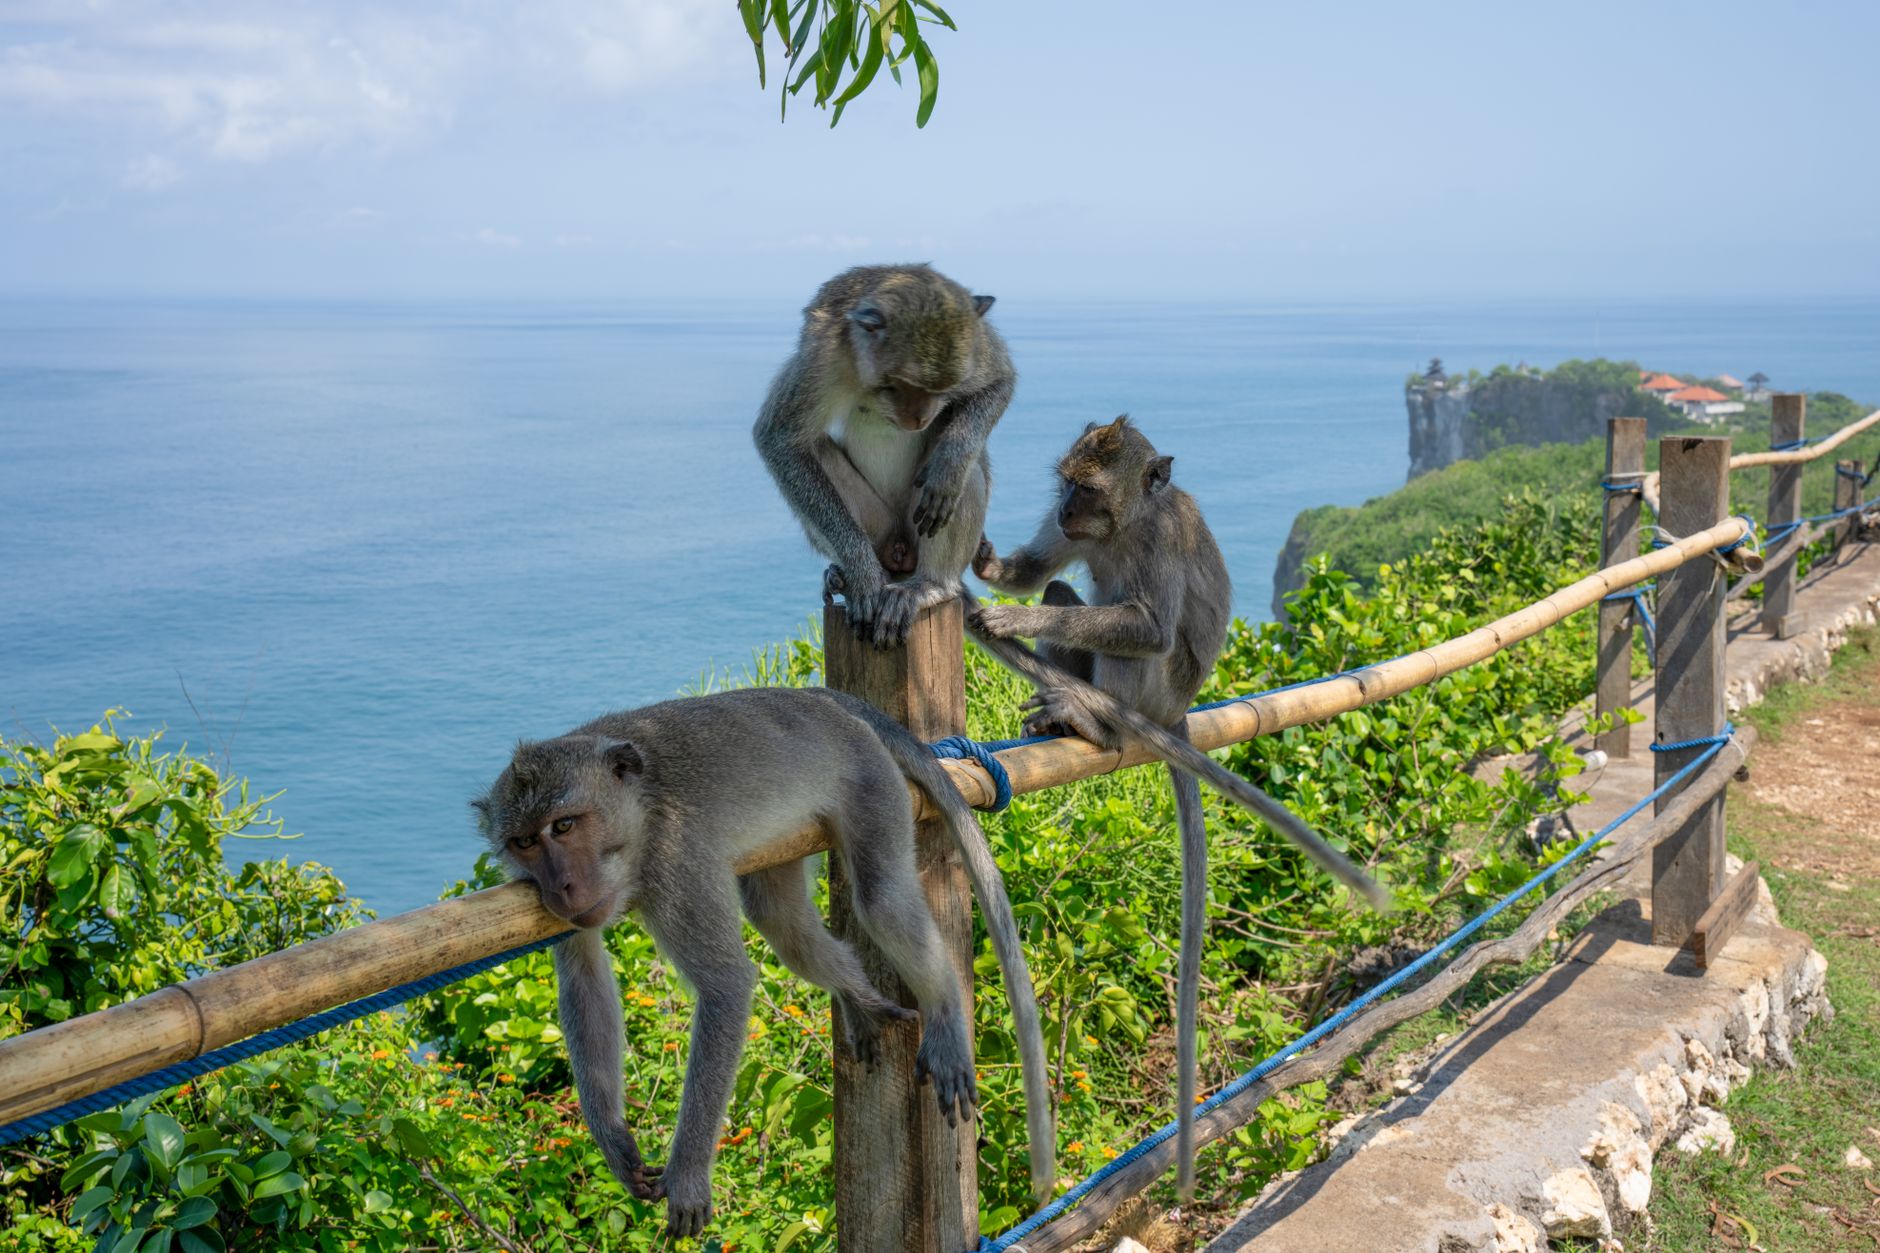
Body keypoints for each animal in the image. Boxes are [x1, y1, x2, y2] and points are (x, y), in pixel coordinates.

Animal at [472, 685, 1054, 1239]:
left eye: (565, 826)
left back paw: (945, 1013)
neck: (639, 814)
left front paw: (688, 1173)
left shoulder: (676, 862)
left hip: (868, 777)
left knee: (882, 898)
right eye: (524, 841)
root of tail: (817, 698)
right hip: (789, 833)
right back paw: (858, 997)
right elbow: (585, 983)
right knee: (779, 917)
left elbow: (726, 986)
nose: (562, 887)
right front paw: (614, 1140)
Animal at [754, 264, 1014, 647]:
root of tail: (901, 557)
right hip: (879, 528)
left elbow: (999, 381)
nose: (919, 418)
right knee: (813, 446)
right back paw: (845, 574)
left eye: (940, 389)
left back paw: (932, 584)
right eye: (899, 386)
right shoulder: (822, 359)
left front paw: (949, 467)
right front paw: (862, 575)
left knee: (961, 455)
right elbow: (779, 439)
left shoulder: (976, 343)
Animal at [966, 416, 1391, 1201]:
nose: (1066, 510)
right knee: (1069, 588)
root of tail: (1178, 715)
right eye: (1066, 484)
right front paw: (986, 559)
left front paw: (1010, 615)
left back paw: (1097, 723)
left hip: (1156, 693)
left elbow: (1148, 627)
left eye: (1088, 487)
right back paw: (1062, 715)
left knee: (1135, 638)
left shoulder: (1160, 541)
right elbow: (1039, 570)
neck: (1128, 522)